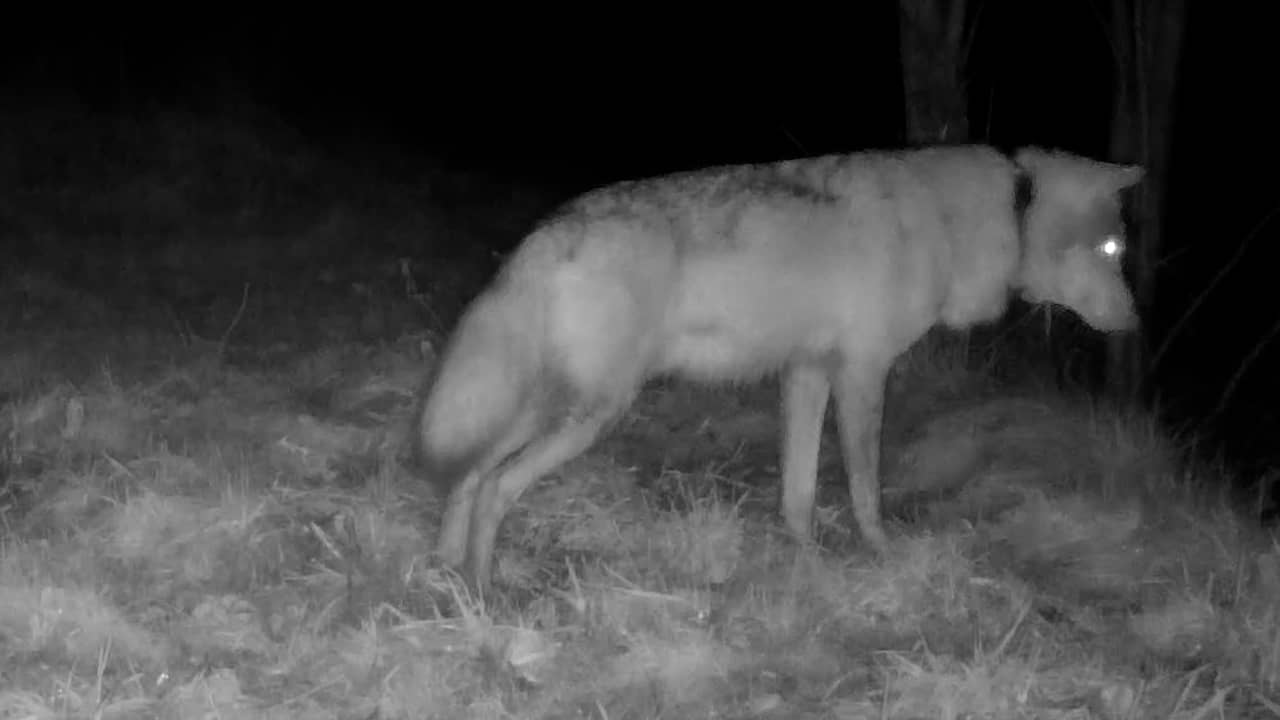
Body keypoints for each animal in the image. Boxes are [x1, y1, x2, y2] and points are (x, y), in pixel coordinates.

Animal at [414, 144, 1143, 590]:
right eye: (1112, 249)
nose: (1136, 324)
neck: (993, 214)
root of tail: (547, 231)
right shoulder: (861, 374)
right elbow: (865, 491)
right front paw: (881, 557)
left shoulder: (808, 374)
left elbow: (798, 492)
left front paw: (806, 558)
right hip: (590, 414)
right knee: (495, 487)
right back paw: (486, 591)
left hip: (550, 408)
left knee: (468, 475)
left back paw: (445, 571)